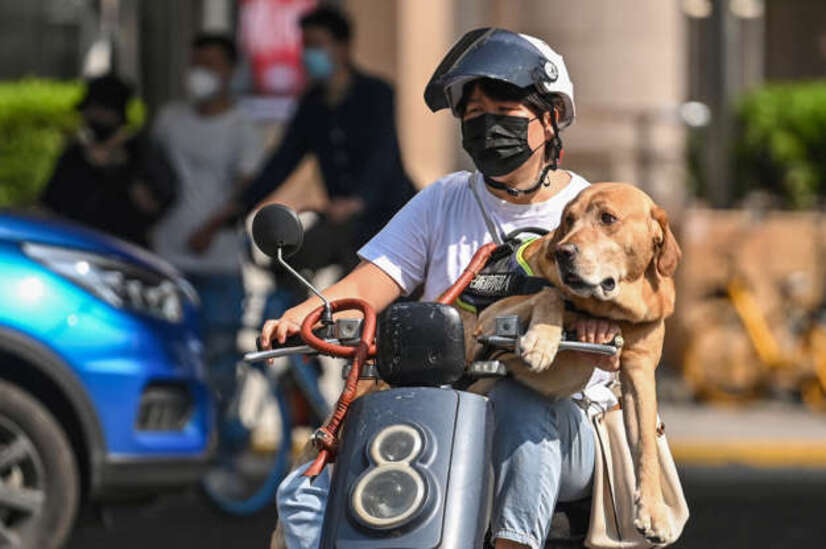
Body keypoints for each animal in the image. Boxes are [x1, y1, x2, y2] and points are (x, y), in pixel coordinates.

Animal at [466, 182, 680, 540]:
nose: (564, 252)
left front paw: (652, 510)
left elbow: (646, 444)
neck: (613, 311)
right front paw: (541, 340)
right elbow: (552, 292)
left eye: (607, 218)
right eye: (569, 220)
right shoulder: (487, 320)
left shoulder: (639, 371)